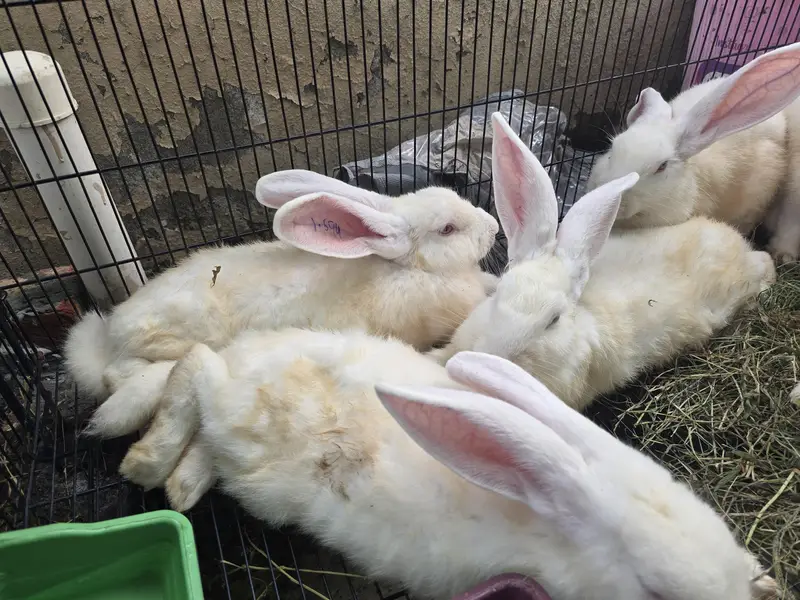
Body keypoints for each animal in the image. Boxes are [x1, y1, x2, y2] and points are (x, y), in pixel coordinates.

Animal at [64, 169, 499, 438]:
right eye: (448, 229)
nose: (494, 226)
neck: (411, 269)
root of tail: (110, 333)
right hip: (168, 335)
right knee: (116, 375)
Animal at [119, 328, 777, 600]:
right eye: (657, 591)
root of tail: (252, 352)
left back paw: (181, 484)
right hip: (250, 445)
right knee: (196, 364)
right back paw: (148, 466)